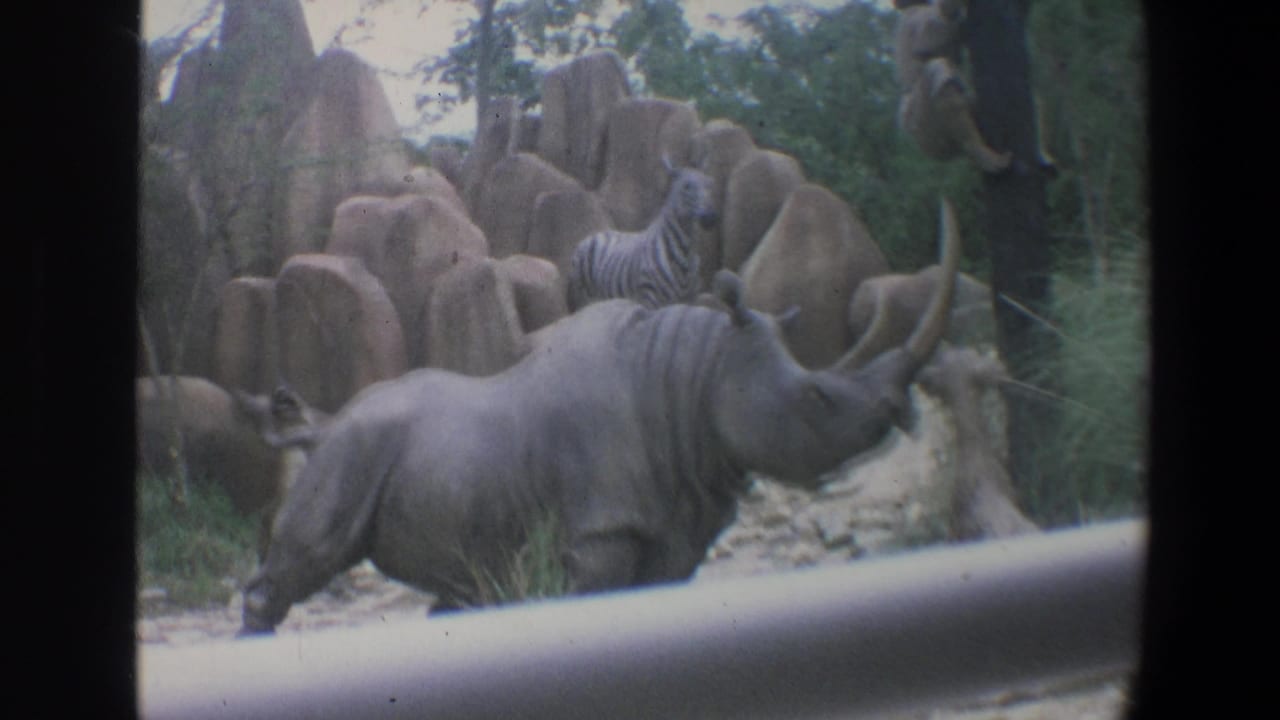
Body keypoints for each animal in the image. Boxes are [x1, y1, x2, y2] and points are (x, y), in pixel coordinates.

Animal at [239, 200, 963, 635]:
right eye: (816, 398)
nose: (900, 421)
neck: (696, 378)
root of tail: (325, 424)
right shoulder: (600, 531)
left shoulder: (678, 515)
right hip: (351, 455)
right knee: (306, 559)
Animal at [567, 159, 718, 311]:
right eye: (686, 187)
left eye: (709, 184)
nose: (710, 218)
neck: (684, 253)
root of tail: (594, 235)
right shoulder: (650, 299)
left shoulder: (689, 300)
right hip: (584, 293)